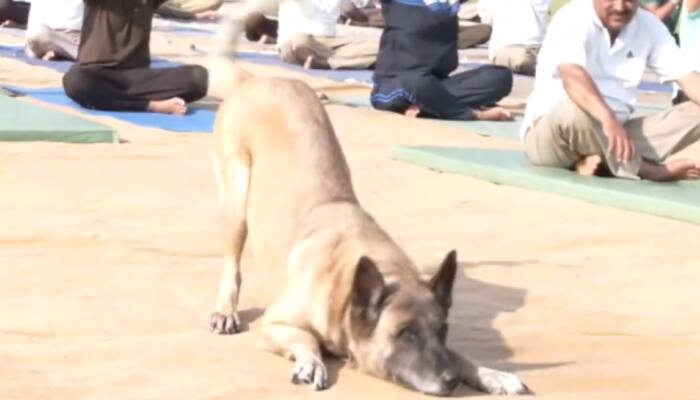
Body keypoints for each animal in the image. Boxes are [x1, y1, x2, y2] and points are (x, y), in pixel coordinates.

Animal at [208, 36, 532, 396]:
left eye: (442, 330)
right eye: (406, 334)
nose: (450, 381)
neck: (346, 289)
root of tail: (257, 80)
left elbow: (458, 354)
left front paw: (488, 373)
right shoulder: (274, 325)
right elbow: (307, 339)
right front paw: (311, 362)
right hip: (237, 200)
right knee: (232, 263)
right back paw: (225, 308)